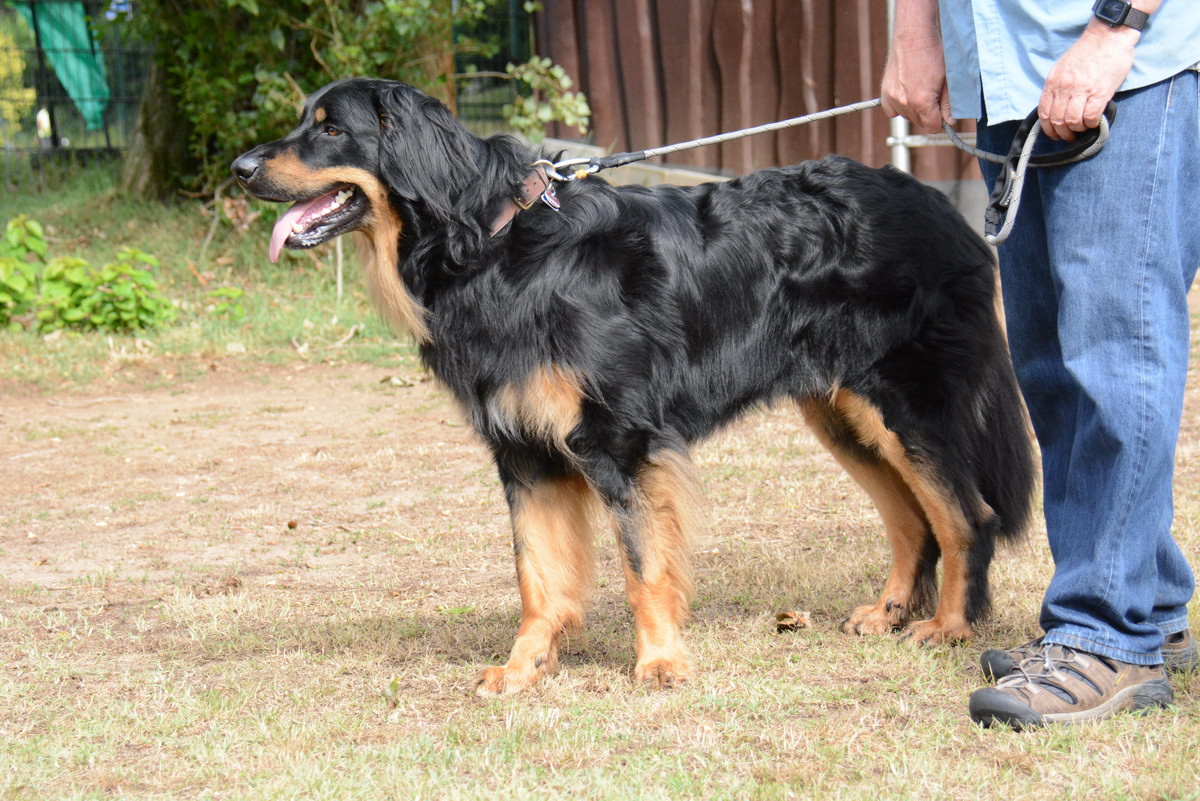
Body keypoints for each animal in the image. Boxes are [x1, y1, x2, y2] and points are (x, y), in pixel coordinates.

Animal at [231, 77, 1032, 695]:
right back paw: (891, 611)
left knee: (967, 515)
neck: (493, 243)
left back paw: (948, 626)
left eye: (332, 130)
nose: (239, 167)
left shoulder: (620, 440)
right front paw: (525, 667)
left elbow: (644, 562)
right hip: (843, 413)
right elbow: (538, 575)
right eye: (305, 121)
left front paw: (660, 662)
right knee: (912, 519)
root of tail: (941, 205)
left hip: (906, 406)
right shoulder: (524, 452)